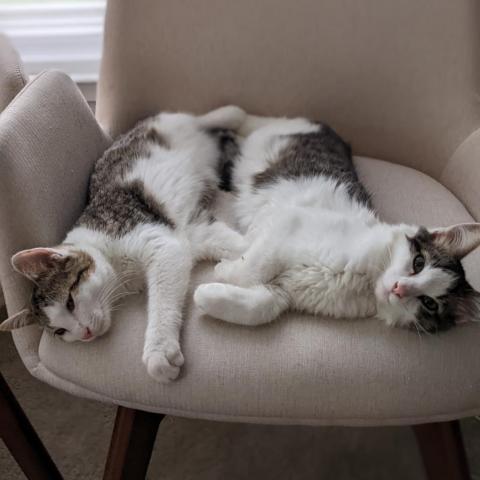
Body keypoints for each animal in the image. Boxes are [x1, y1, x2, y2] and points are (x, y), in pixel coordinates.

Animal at [0, 106, 247, 383]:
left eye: (70, 302)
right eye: (60, 332)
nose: (85, 333)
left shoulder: (159, 242)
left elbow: (161, 297)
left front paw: (159, 351)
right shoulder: (192, 230)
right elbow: (239, 245)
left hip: (168, 124)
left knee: (208, 117)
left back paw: (237, 117)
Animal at [194, 114, 480, 333]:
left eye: (430, 303)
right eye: (418, 263)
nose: (399, 289)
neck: (365, 282)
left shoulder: (283, 292)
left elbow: (259, 308)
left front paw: (207, 292)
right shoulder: (288, 225)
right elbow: (252, 268)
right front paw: (225, 269)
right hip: (269, 135)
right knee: (244, 117)